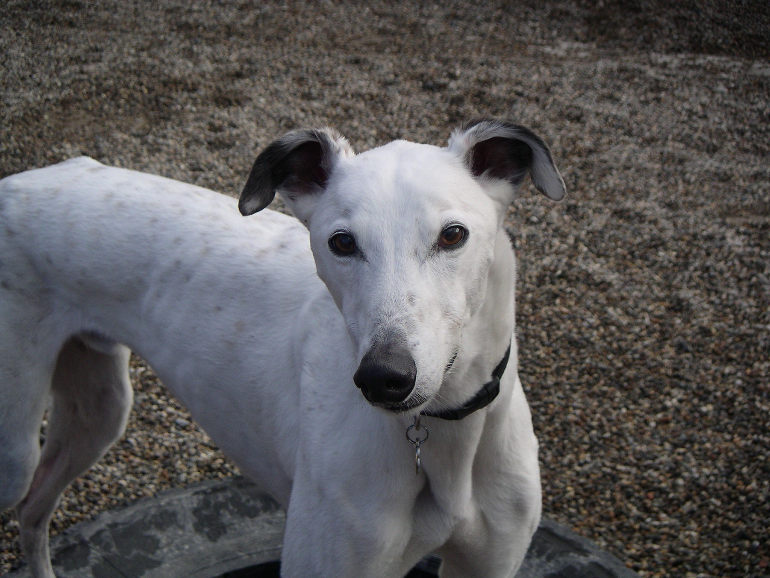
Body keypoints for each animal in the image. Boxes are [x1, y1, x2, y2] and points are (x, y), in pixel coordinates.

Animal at [0, 119, 565, 577]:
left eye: (452, 235)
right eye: (341, 242)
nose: (383, 378)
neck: (444, 434)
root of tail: (18, 182)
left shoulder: (488, 563)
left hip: (99, 407)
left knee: (34, 509)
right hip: (17, 446)